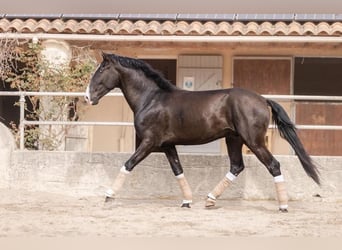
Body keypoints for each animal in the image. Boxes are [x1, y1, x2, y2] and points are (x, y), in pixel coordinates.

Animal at [85, 52, 320, 211]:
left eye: (102, 69)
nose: (87, 97)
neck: (151, 99)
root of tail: (263, 99)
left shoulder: (149, 142)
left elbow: (128, 164)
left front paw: (108, 196)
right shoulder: (167, 145)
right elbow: (178, 170)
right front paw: (186, 201)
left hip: (253, 141)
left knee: (273, 165)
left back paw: (283, 206)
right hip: (234, 139)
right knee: (236, 166)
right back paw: (209, 199)